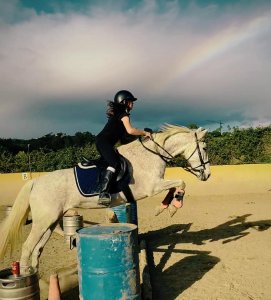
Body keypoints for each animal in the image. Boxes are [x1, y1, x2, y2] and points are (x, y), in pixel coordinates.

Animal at [0, 123, 210, 274]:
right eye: (205, 148)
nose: (207, 175)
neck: (152, 155)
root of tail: (35, 182)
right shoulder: (153, 186)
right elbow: (181, 182)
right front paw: (172, 206)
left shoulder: (157, 184)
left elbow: (177, 185)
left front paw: (166, 207)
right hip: (44, 221)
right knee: (28, 247)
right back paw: (25, 274)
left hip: (50, 222)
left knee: (38, 248)